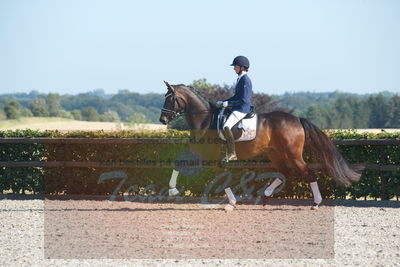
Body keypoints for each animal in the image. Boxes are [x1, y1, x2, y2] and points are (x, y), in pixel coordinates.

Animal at [159, 80, 362, 210]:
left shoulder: (212, 157)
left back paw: (316, 203)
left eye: (170, 98)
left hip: (293, 154)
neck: (205, 120)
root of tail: (296, 119)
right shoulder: (199, 153)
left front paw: (231, 203)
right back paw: (265, 195)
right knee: (284, 172)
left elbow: (219, 176)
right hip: (275, 153)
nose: (162, 120)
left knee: (308, 172)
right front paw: (173, 190)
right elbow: (180, 164)